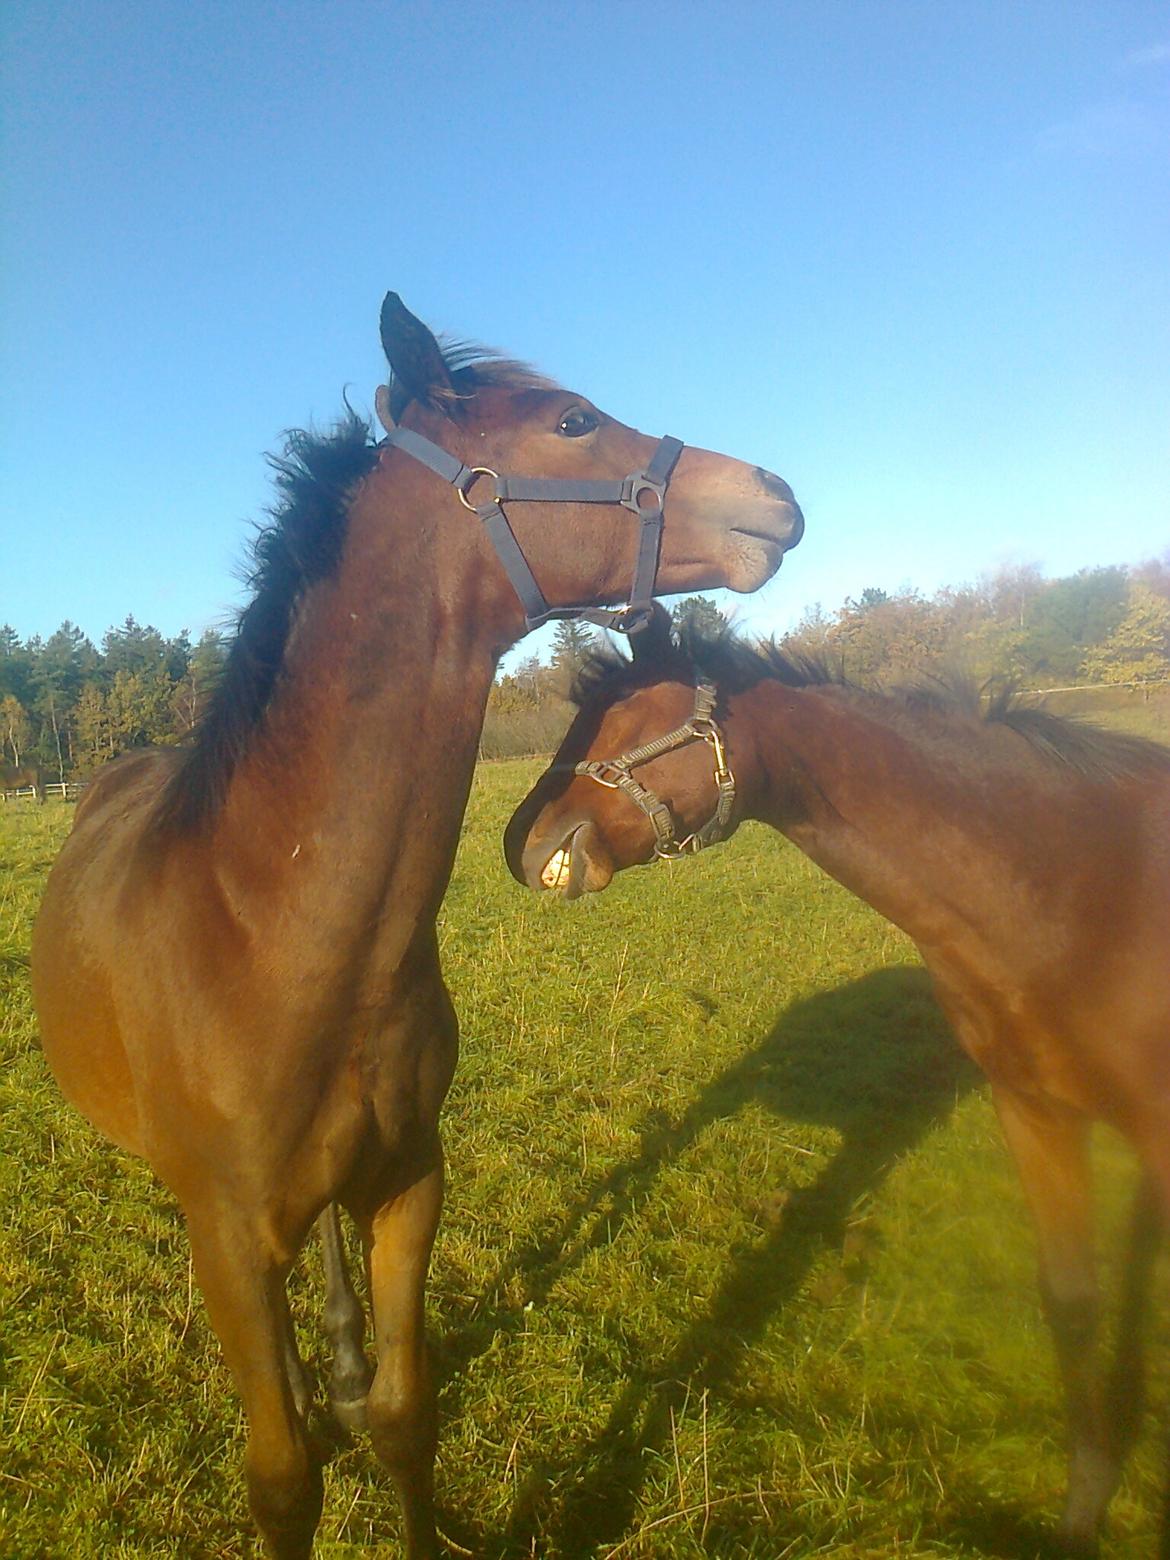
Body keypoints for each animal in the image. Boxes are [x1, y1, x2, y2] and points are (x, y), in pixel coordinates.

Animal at [34, 294, 804, 1560]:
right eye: (572, 419)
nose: (775, 494)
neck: (269, 932)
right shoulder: (229, 1239)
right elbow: (282, 1479)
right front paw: (299, 1419)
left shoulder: (409, 1184)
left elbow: (404, 1416)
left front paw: (366, 1399)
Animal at [511, 605, 1170, 1547]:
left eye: (625, 719)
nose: (521, 847)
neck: (1073, 887)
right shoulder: (1035, 1111)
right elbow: (1074, 1303)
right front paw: (1083, 1508)